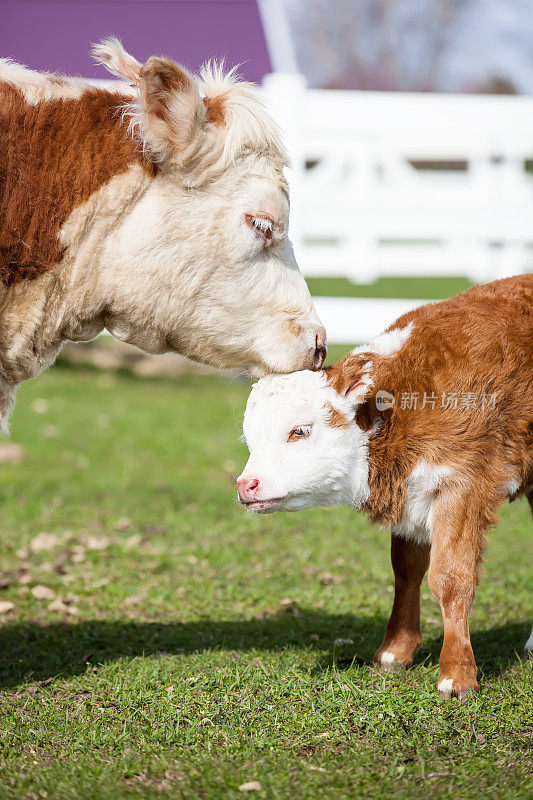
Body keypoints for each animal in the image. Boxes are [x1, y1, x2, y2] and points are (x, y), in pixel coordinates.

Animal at [238, 276, 532, 700]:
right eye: (249, 439)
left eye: (300, 430)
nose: (247, 485)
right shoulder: (411, 496)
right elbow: (406, 570)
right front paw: (395, 651)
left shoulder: (463, 484)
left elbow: (450, 578)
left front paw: (456, 675)